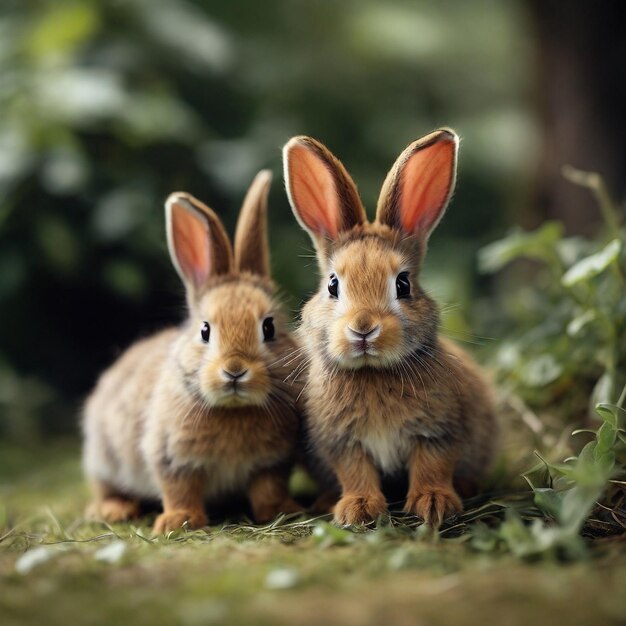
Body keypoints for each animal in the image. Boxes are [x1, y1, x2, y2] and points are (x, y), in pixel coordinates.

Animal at [81, 169, 302, 532]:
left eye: (269, 328)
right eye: (205, 330)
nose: (235, 370)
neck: (233, 410)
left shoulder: (271, 463)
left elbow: (267, 489)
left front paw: (283, 510)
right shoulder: (171, 457)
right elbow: (179, 489)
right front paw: (178, 522)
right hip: (104, 457)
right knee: (106, 489)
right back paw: (114, 510)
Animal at [282, 130, 498, 528]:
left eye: (403, 284)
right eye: (333, 285)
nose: (363, 328)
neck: (373, 372)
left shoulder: (437, 434)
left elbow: (431, 466)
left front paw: (433, 503)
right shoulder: (343, 443)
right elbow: (356, 472)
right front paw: (358, 509)